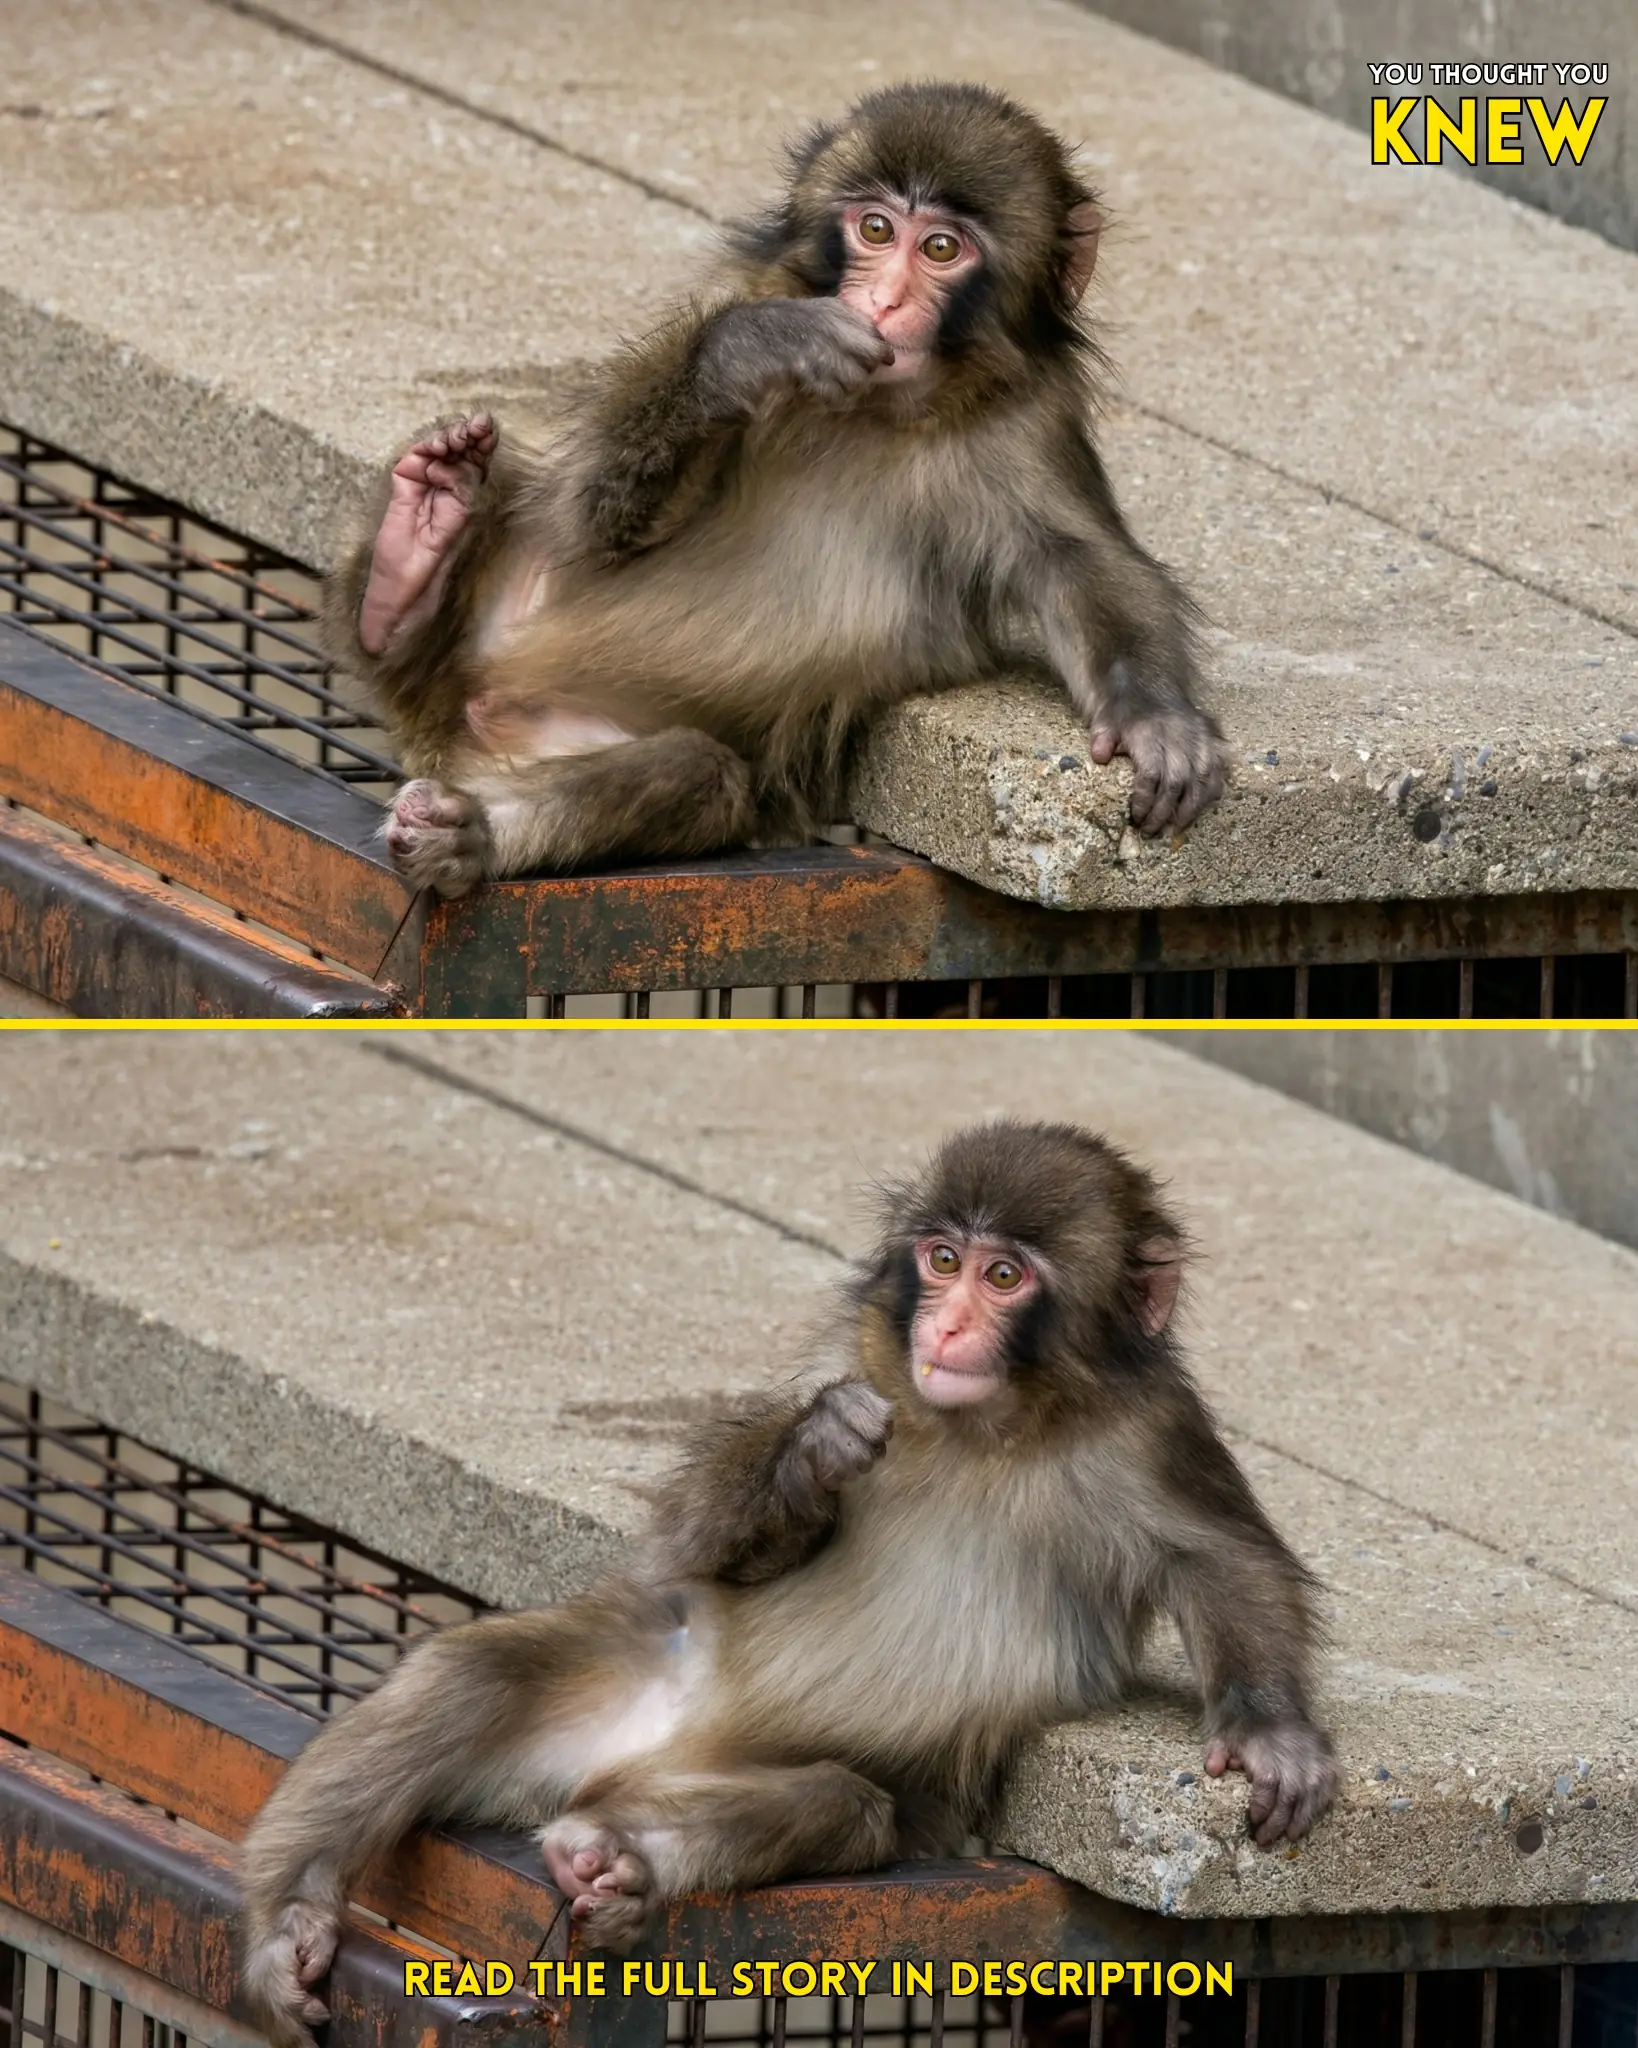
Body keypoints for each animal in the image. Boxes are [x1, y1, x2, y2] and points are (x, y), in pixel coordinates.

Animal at [240, 1119, 1332, 2048]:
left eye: (1005, 1275)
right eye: (942, 1261)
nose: (946, 1330)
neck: (988, 1429)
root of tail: (644, 1752)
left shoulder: (1151, 1429)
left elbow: (1225, 1559)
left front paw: (1272, 1730)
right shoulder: (852, 1359)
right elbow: (690, 1536)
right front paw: (811, 1449)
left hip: (846, 1793)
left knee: (844, 1805)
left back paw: (617, 1855)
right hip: (636, 1661)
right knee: (476, 1678)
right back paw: (290, 1911)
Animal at [325, 83, 1227, 899]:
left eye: (941, 249)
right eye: (874, 229)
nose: (884, 300)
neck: (884, 409)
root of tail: (458, 708)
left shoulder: (1031, 420)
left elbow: (1080, 560)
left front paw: (1157, 718)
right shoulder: (743, 288)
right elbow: (594, 522)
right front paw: (747, 355)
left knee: (702, 773)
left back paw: (470, 825)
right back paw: (412, 560)